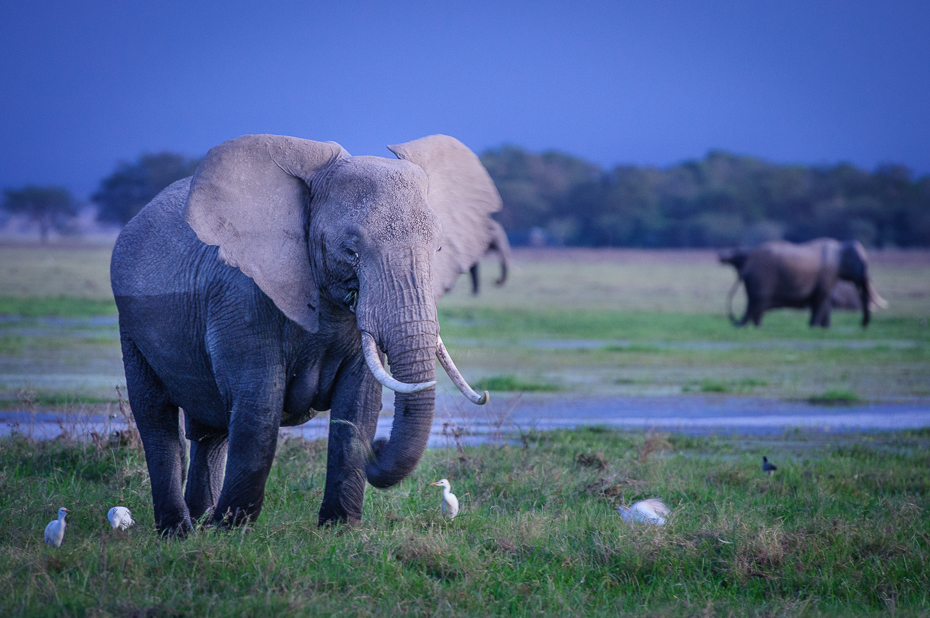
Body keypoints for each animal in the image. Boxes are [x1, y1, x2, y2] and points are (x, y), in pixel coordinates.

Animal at [111, 132, 504, 532]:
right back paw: (179, 531)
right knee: (157, 421)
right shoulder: (241, 297)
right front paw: (233, 530)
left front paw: (340, 529)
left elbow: (359, 404)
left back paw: (201, 523)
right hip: (131, 325)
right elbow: (258, 405)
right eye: (351, 250)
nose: (378, 448)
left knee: (210, 433)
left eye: (438, 249)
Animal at [716, 237, 884, 328]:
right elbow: (821, 301)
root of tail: (749, 264)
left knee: (755, 306)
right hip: (761, 279)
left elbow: (825, 302)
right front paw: (814, 327)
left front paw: (824, 329)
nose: (863, 325)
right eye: (862, 264)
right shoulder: (827, 274)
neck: (840, 248)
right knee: (756, 304)